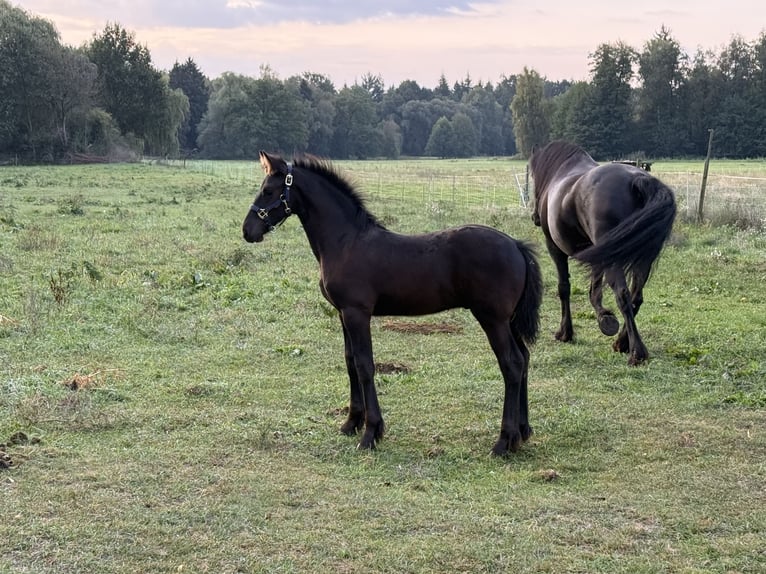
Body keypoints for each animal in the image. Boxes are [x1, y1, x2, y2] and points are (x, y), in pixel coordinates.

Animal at [243, 151, 543, 455]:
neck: (346, 242)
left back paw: (504, 441)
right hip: (508, 320)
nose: (247, 231)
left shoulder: (356, 313)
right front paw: (351, 423)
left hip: (492, 319)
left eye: (268, 190)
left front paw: (371, 433)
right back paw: (523, 431)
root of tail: (516, 245)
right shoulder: (342, 314)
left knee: (511, 364)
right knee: (524, 358)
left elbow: (364, 365)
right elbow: (350, 361)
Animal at [528, 140, 676, 365]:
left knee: (623, 295)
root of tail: (637, 179)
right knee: (636, 296)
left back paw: (636, 352)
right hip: (639, 258)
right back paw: (622, 342)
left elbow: (564, 288)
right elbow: (595, 290)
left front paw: (565, 332)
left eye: (532, 176)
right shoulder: (598, 254)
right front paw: (605, 318)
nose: (535, 217)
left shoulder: (555, 249)